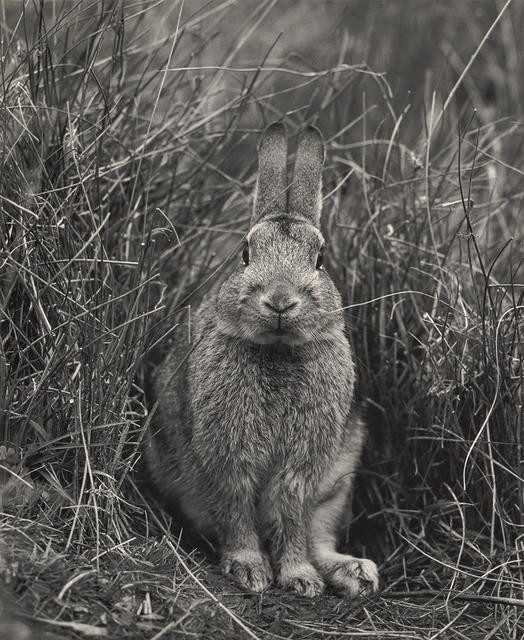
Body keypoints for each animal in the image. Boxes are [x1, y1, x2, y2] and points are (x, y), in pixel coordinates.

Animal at [145, 122, 378, 596]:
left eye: (320, 259)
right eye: (245, 254)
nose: (280, 301)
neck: (277, 349)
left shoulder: (302, 468)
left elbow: (290, 516)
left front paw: (299, 578)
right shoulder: (227, 456)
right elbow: (235, 509)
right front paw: (250, 570)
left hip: (338, 483)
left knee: (318, 535)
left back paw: (354, 572)